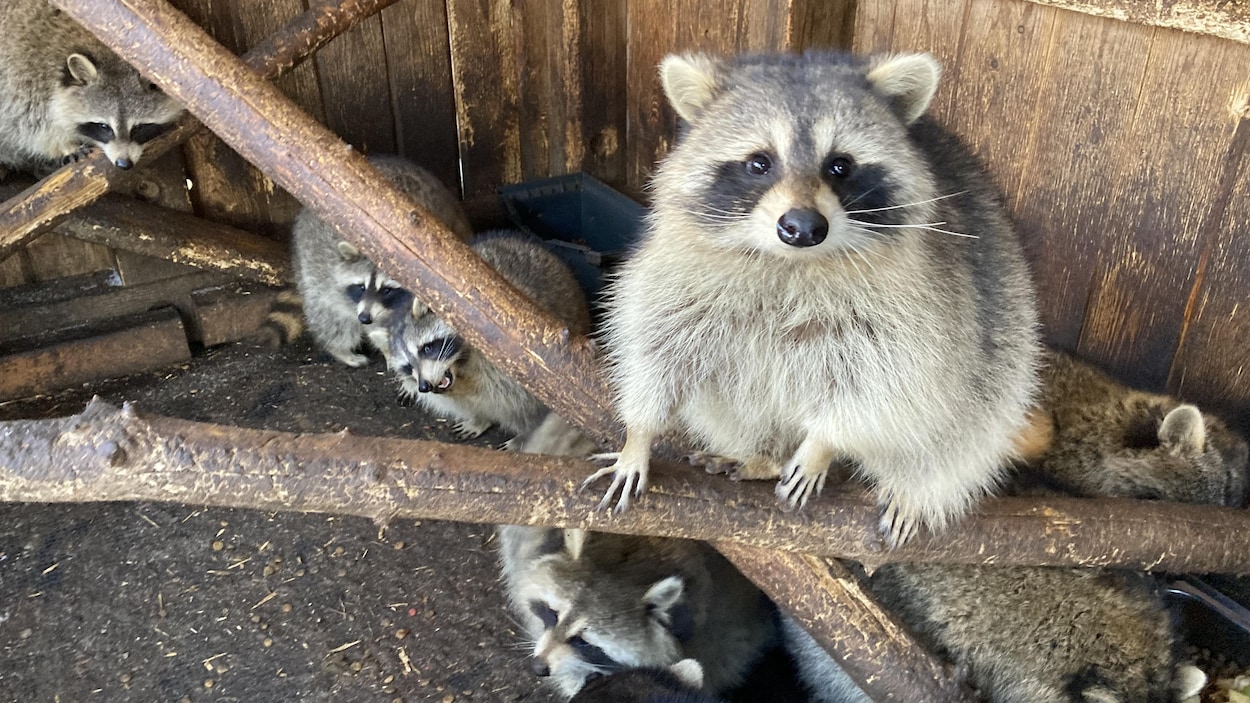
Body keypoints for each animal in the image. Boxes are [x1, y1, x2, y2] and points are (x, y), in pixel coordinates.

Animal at [0, 0, 182, 177]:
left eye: (139, 127)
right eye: (104, 127)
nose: (123, 163)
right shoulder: (23, 80)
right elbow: (28, 127)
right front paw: (65, 145)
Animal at [292, 152, 472, 367]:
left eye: (387, 290)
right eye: (360, 287)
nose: (364, 318)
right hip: (311, 267)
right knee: (329, 314)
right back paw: (339, 349)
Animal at [390, 232, 590, 440]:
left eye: (427, 348)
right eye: (407, 366)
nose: (424, 386)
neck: (460, 365)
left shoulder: (508, 349)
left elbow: (516, 397)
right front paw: (479, 418)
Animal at [590, 50, 1040, 547]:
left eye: (840, 165)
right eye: (759, 163)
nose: (804, 227)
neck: (789, 261)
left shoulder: (914, 306)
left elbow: (884, 383)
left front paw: (822, 445)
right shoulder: (676, 277)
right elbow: (655, 352)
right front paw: (638, 436)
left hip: (1003, 343)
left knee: (962, 426)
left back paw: (916, 487)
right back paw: (762, 453)